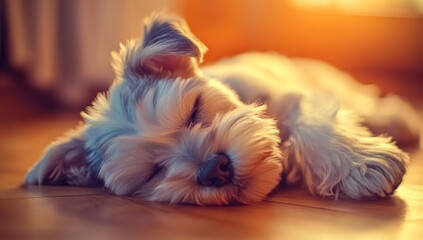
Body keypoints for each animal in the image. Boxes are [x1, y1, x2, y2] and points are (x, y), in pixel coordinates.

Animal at [24, 13, 420, 205]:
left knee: (365, 101)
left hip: (332, 83)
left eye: (194, 110)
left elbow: (314, 127)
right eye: (152, 172)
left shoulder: (295, 97)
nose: (214, 169)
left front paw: (359, 165)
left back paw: (398, 120)